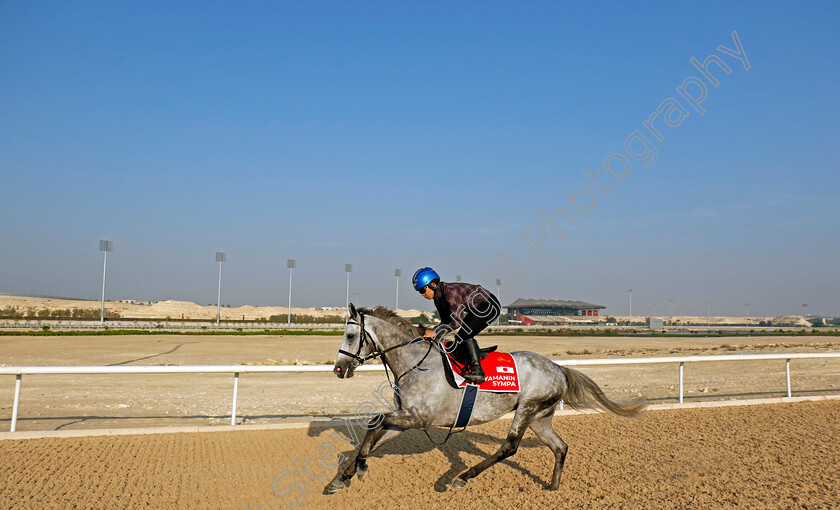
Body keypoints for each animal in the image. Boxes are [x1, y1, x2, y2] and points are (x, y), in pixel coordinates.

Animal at [324, 302, 648, 494]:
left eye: (350, 336)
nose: (338, 369)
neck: (415, 362)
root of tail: (558, 368)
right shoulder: (407, 418)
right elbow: (375, 433)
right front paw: (346, 474)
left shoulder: (420, 418)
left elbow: (374, 420)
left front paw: (356, 469)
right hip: (540, 418)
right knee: (560, 446)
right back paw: (553, 487)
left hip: (527, 408)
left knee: (509, 447)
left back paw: (461, 477)